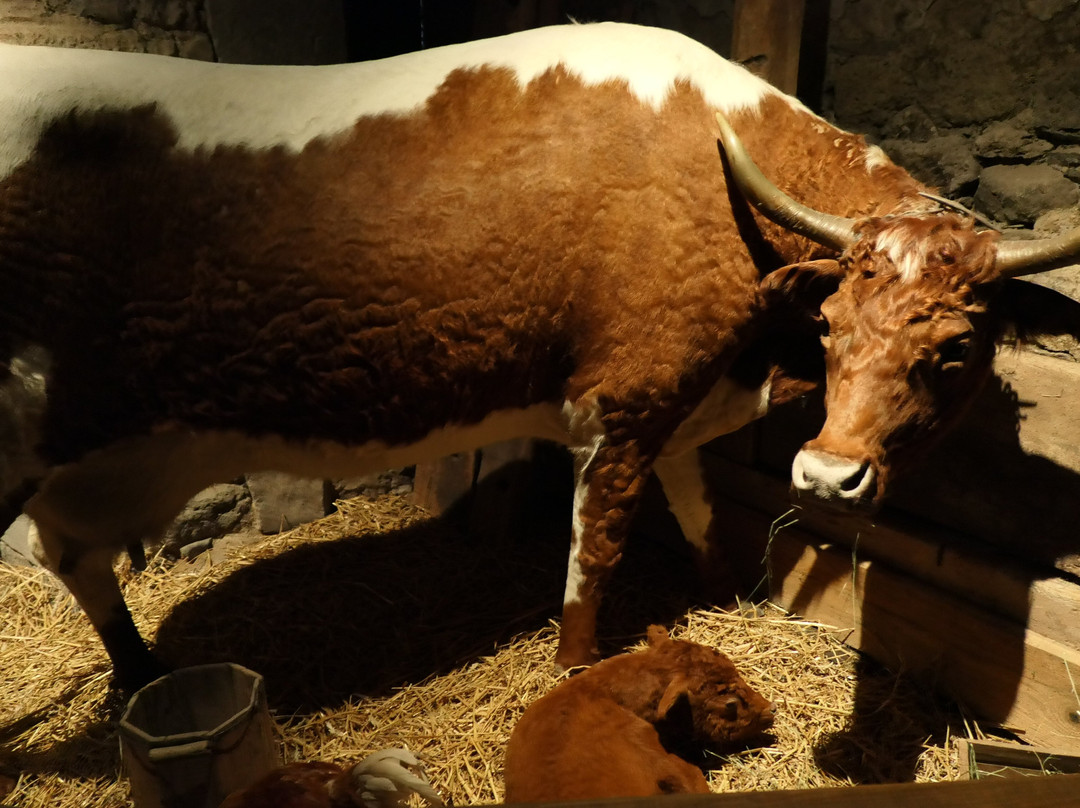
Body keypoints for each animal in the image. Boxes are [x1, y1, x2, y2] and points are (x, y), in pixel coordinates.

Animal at [1, 22, 1077, 691]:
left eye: (954, 346)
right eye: (830, 326)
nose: (824, 474)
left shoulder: (679, 396)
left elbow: (698, 511)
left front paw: (723, 589)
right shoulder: (624, 399)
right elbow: (594, 555)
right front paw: (574, 668)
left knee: (77, 560)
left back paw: (142, 673)